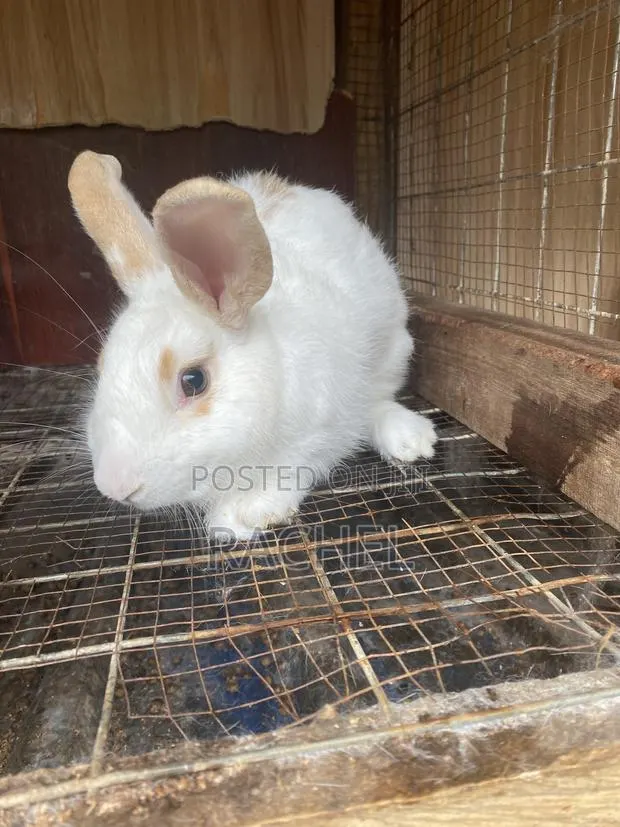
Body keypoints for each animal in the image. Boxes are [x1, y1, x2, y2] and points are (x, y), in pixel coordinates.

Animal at [67, 151, 437, 541]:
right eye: (102, 368)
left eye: (193, 380)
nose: (115, 486)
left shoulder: (325, 426)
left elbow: (299, 463)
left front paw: (245, 513)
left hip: (394, 349)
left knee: (378, 400)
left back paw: (411, 440)